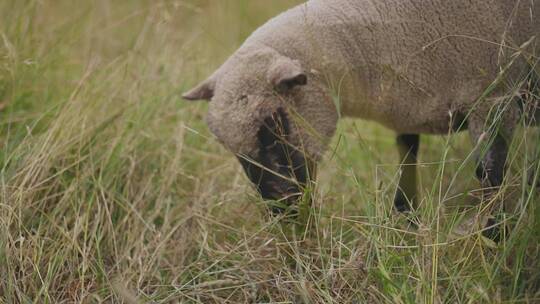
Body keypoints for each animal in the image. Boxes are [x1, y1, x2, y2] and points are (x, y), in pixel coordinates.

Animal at [184, 0, 536, 240]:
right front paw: (407, 223)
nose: (284, 210)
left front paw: (492, 239)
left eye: (274, 121)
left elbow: (490, 176)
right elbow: (407, 159)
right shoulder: (411, 113)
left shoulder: (494, 99)